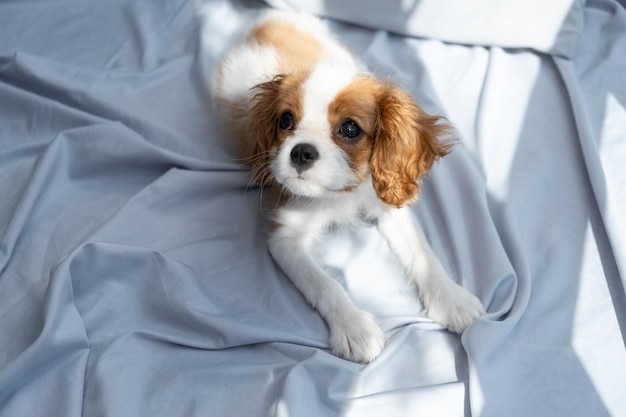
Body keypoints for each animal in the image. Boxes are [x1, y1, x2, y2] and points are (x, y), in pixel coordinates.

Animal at [211, 8, 482, 360]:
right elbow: (324, 284)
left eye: (350, 129)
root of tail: (268, 22)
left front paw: (452, 299)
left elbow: (425, 256)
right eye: (285, 121)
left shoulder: (387, 203)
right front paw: (355, 328)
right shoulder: (285, 239)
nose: (301, 152)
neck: (341, 194)